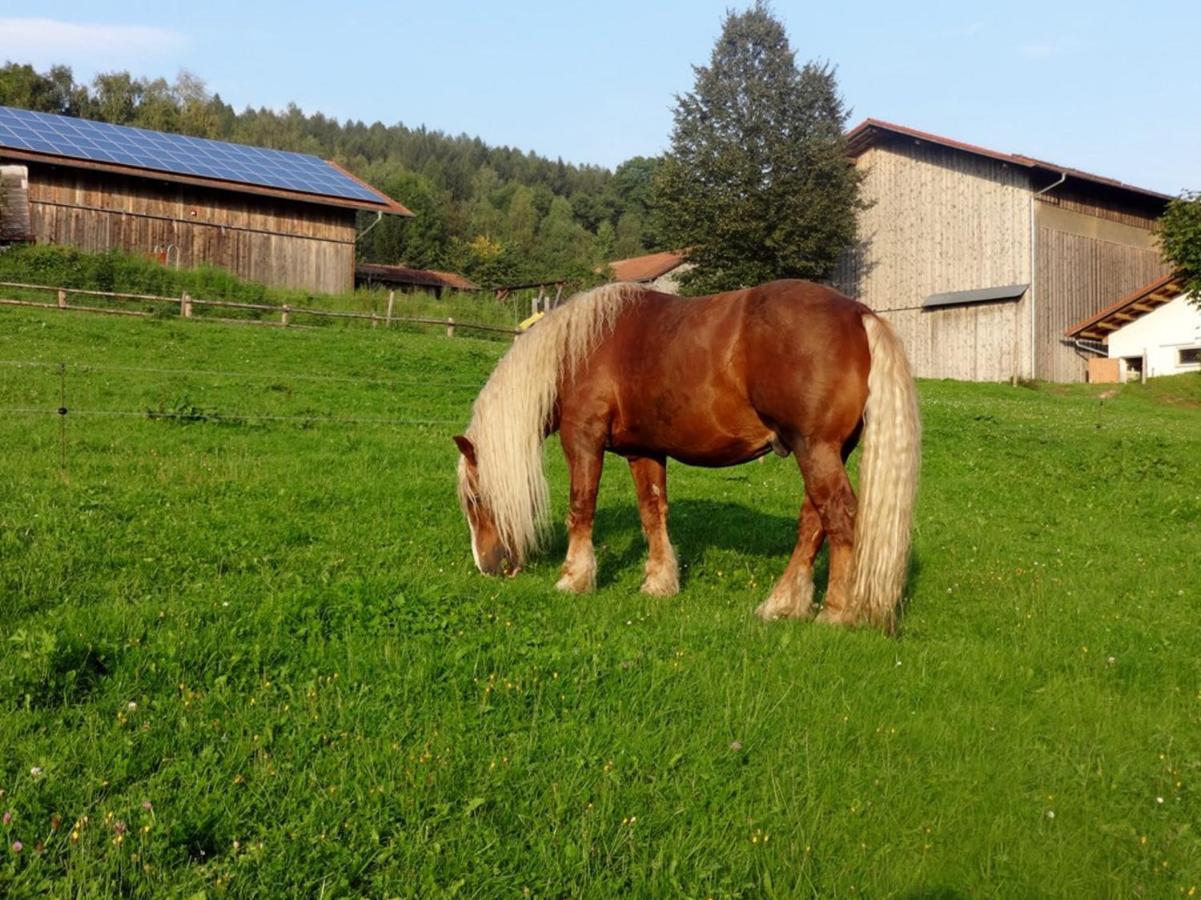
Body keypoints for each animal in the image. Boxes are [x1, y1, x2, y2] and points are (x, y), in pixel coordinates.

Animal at [453, 281, 922, 629]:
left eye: (474, 499)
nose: (488, 566)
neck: (578, 350)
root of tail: (858, 313)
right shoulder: (643, 451)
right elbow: (652, 511)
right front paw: (659, 583)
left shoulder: (583, 440)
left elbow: (581, 506)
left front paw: (574, 578)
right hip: (826, 452)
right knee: (813, 523)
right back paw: (782, 604)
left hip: (816, 450)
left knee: (839, 519)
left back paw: (836, 613)